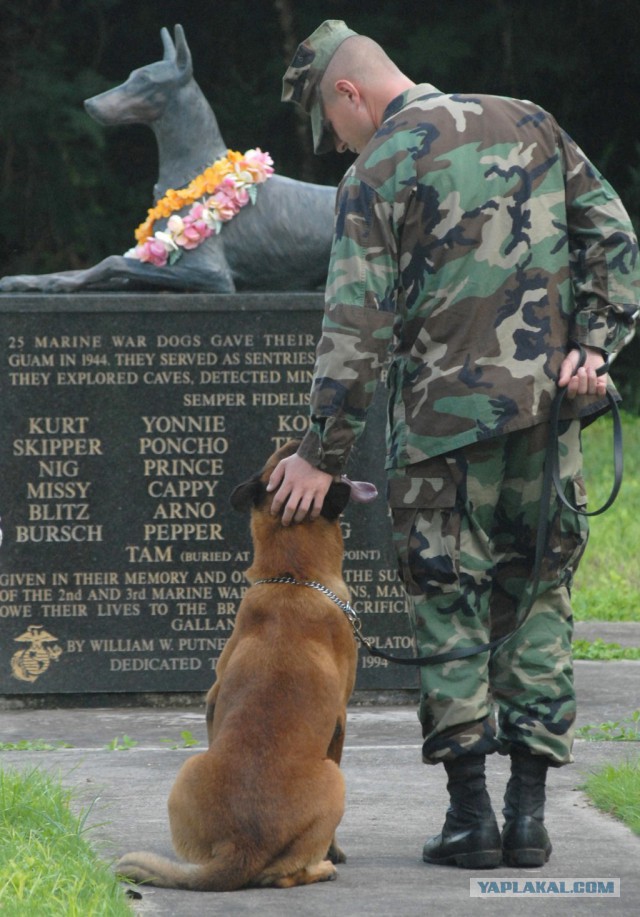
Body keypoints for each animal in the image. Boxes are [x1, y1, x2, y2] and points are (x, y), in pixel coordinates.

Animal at [114, 440, 372, 892]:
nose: (302, 440)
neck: (292, 576)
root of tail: (243, 846)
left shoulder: (212, 700)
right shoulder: (341, 722)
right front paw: (335, 851)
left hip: (188, 770)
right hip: (334, 781)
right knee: (285, 876)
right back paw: (322, 867)